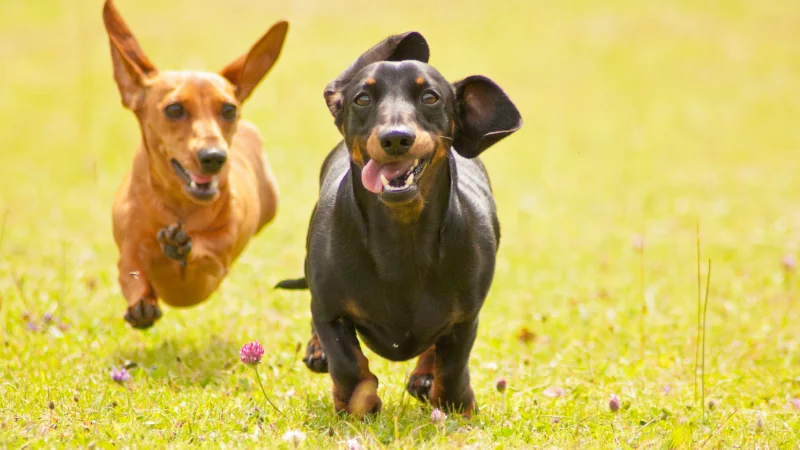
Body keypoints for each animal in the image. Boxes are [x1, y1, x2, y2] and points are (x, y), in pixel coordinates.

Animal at [104, 0, 288, 330]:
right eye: (174, 109)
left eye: (229, 110)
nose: (214, 157)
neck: (180, 207)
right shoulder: (128, 256)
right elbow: (132, 273)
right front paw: (142, 303)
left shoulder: (216, 265)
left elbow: (205, 249)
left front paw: (181, 246)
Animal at [278, 32, 520, 418]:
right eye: (362, 98)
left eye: (430, 97)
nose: (395, 138)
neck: (402, 239)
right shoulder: (329, 310)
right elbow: (346, 362)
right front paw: (358, 404)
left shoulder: (465, 318)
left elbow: (452, 364)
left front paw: (455, 405)